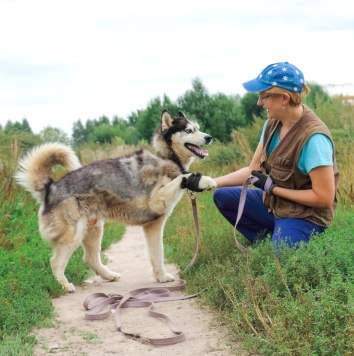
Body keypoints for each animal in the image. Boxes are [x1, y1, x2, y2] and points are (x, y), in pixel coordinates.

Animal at [15, 110, 216, 292]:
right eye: (189, 130)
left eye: (198, 128)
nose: (209, 137)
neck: (167, 158)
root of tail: (51, 187)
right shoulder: (156, 201)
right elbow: (184, 177)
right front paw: (203, 180)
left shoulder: (154, 226)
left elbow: (157, 255)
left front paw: (160, 277)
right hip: (74, 235)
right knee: (56, 262)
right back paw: (64, 285)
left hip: (94, 229)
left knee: (89, 258)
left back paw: (109, 276)